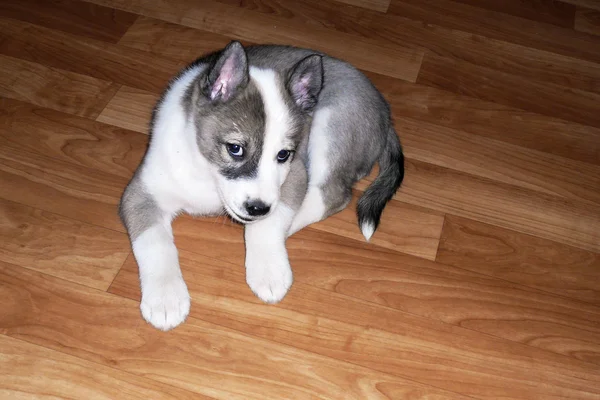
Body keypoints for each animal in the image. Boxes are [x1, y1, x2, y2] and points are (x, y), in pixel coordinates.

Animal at [119, 42, 406, 332]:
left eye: (283, 155)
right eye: (235, 149)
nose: (257, 209)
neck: (208, 175)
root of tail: (386, 115)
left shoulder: (295, 175)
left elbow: (268, 224)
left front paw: (268, 269)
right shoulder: (141, 194)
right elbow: (155, 242)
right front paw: (165, 296)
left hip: (330, 125)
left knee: (330, 195)